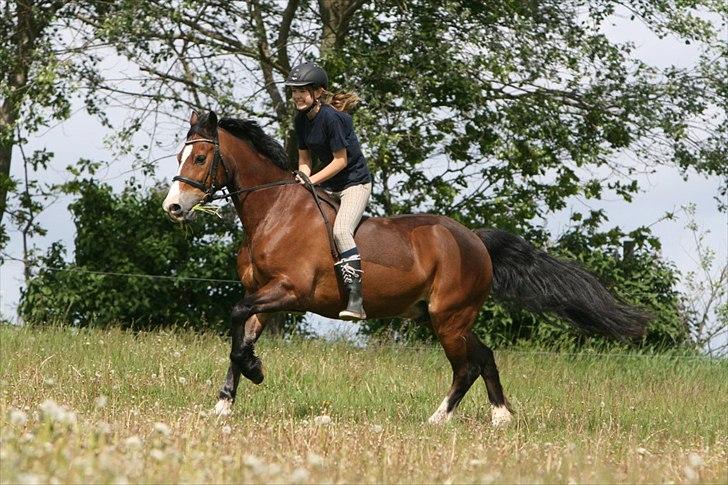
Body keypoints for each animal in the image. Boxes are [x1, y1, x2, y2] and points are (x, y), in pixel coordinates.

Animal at [162, 111, 644, 426]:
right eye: (180, 157)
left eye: (200, 159)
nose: (173, 208)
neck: (273, 211)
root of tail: (475, 240)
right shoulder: (264, 295)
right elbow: (240, 334)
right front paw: (224, 403)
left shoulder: (289, 291)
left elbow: (237, 320)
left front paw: (255, 372)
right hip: (445, 317)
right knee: (484, 356)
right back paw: (501, 417)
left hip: (449, 317)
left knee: (466, 366)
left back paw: (437, 419)